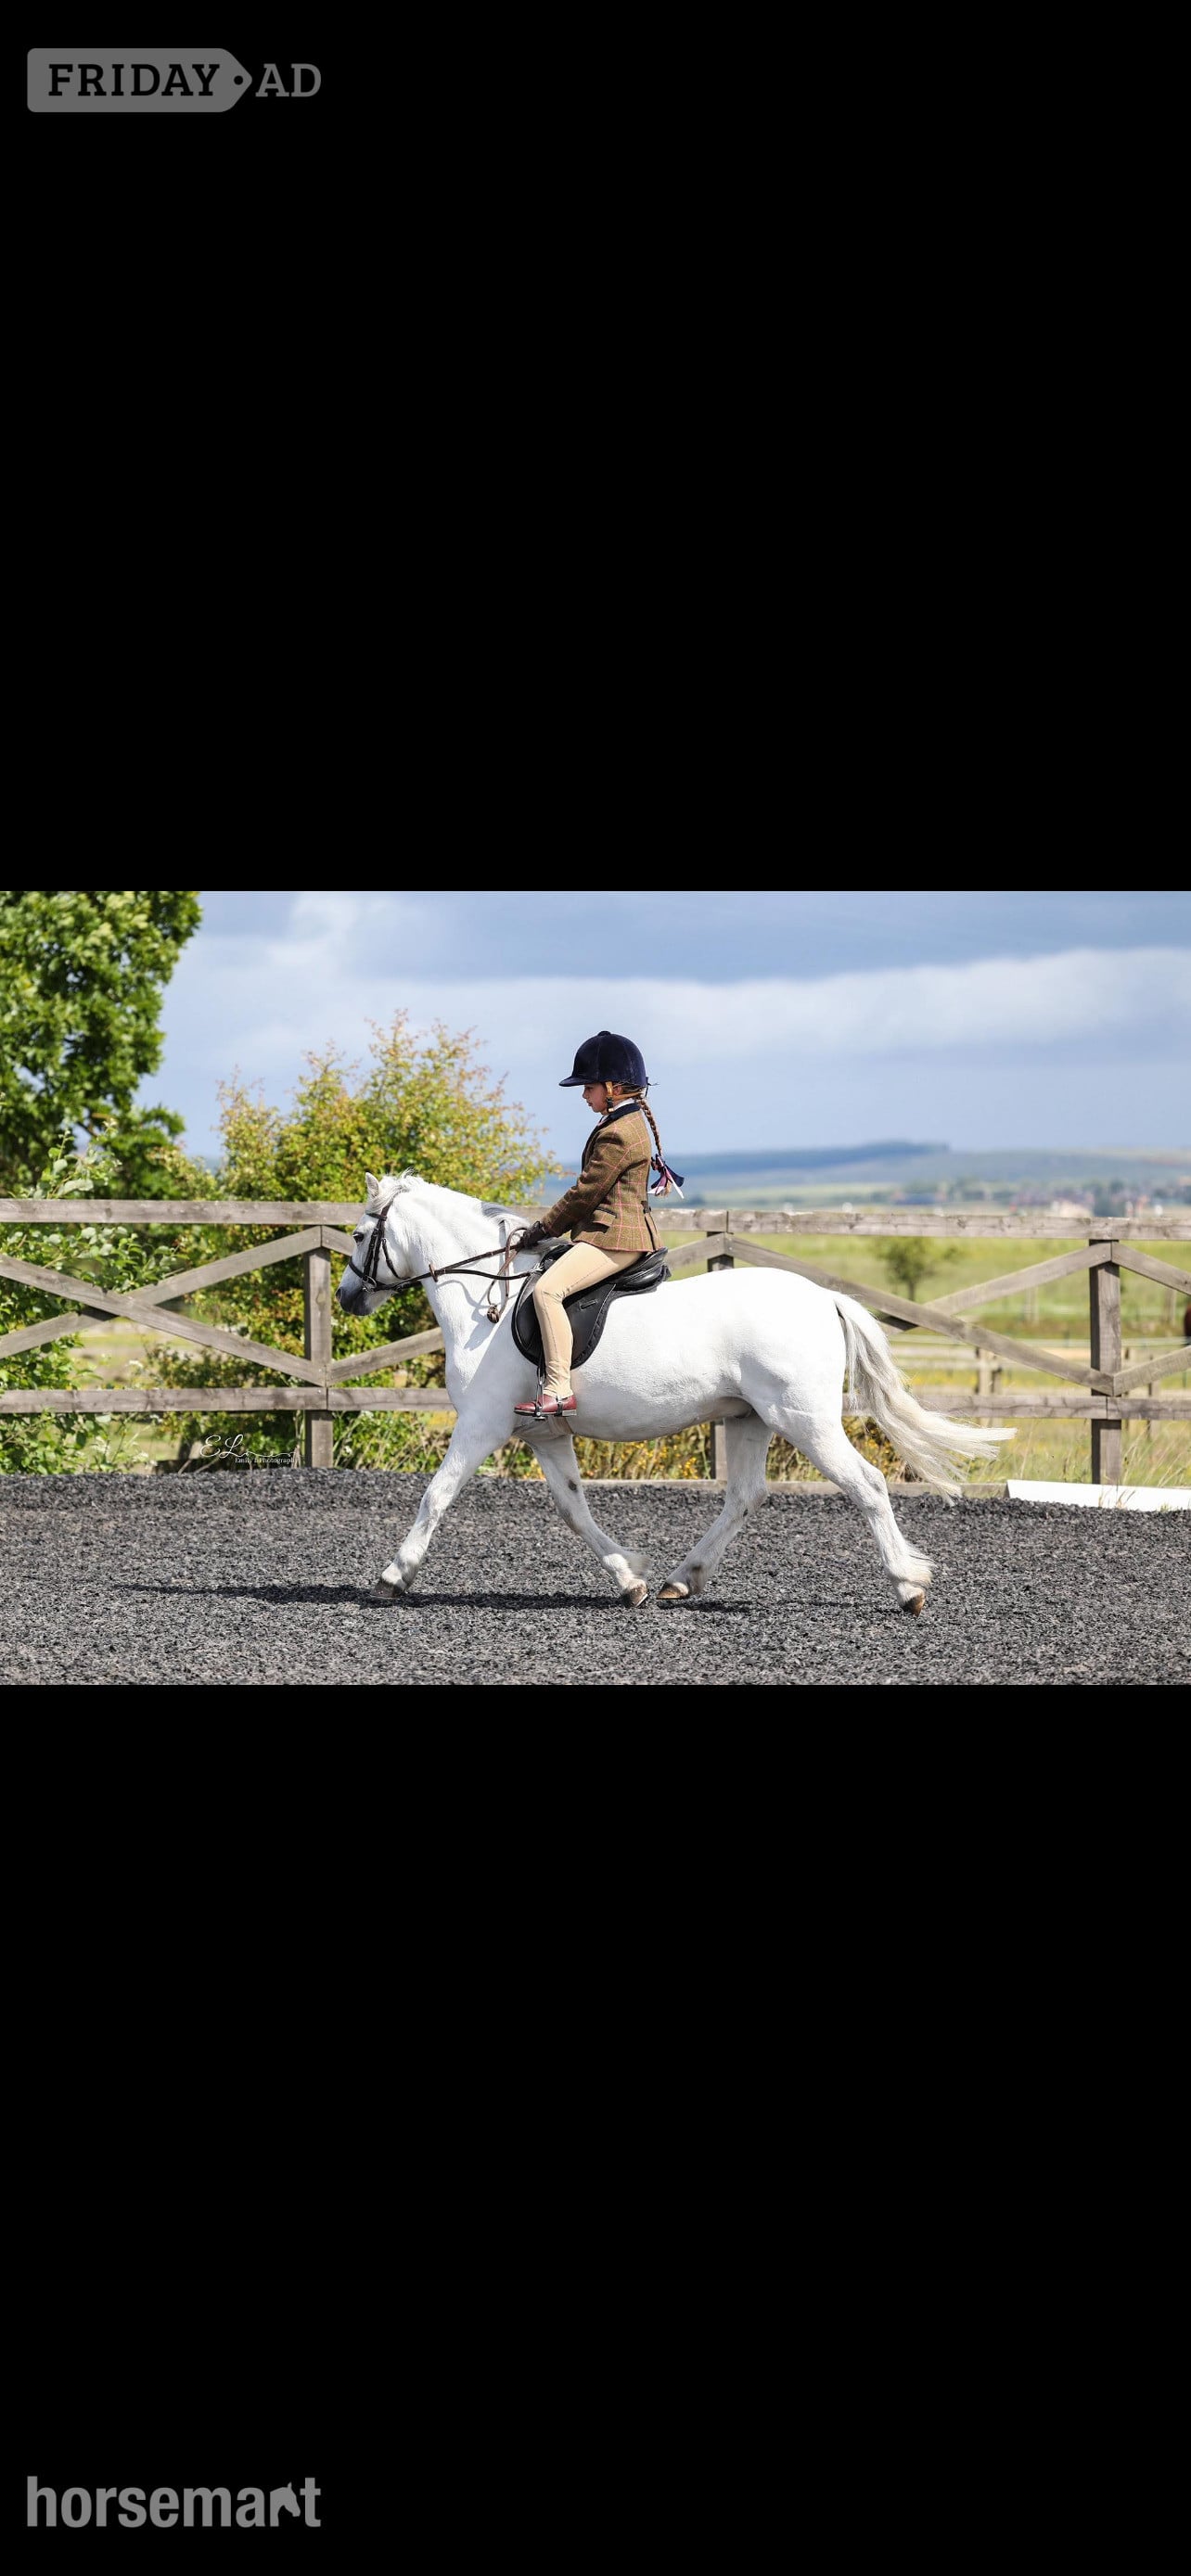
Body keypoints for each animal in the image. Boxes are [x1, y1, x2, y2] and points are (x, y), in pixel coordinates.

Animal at [337, 1172, 1010, 1613]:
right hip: (747, 1419)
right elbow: (574, 1510)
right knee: (745, 1496)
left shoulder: (482, 1423)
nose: (347, 1298)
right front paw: (630, 1579)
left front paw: (393, 1577)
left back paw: (908, 1587)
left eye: (361, 1234)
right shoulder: (544, 1432)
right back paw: (682, 1579)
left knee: (865, 1485)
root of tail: (824, 1297)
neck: (486, 1302)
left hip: (803, 1419)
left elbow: (436, 1495)